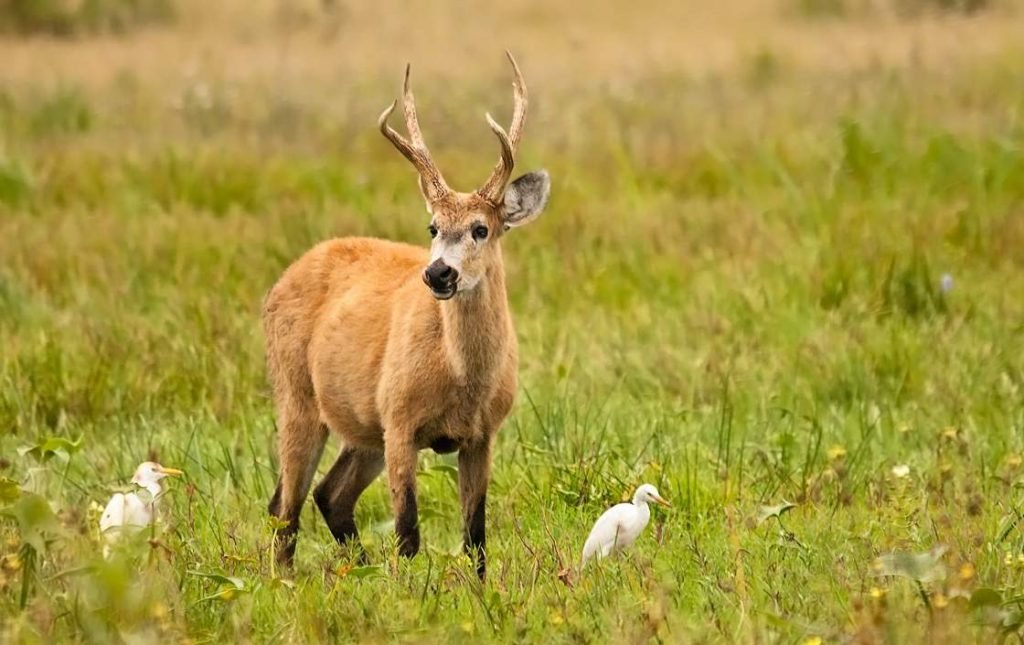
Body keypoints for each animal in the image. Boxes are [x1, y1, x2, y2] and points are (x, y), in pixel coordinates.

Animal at [266, 52, 552, 577]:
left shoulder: (481, 435)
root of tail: (283, 278)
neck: (462, 380)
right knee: (285, 505)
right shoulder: (399, 420)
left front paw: (479, 591)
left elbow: (475, 537)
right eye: (432, 226)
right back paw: (286, 580)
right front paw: (410, 590)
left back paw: (357, 570)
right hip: (296, 394)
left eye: (481, 228)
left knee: (329, 494)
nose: (438, 273)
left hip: (361, 425)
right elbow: (407, 533)